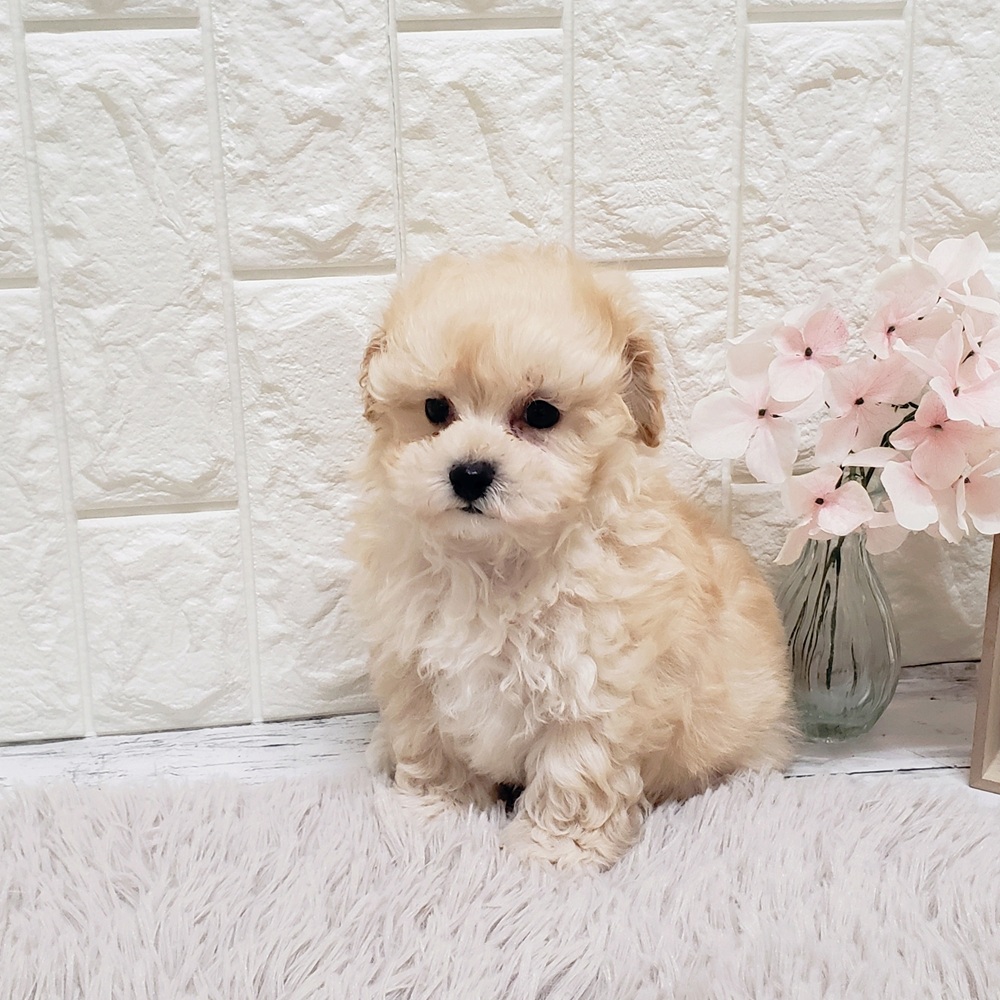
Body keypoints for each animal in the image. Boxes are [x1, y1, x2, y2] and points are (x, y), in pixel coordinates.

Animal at [349, 244, 795, 870]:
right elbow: (432, 746)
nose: (469, 473)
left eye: (541, 414)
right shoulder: (415, 672)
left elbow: (574, 770)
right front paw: (433, 813)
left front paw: (554, 852)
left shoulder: (591, 684)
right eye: (435, 409)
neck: (496, 561)